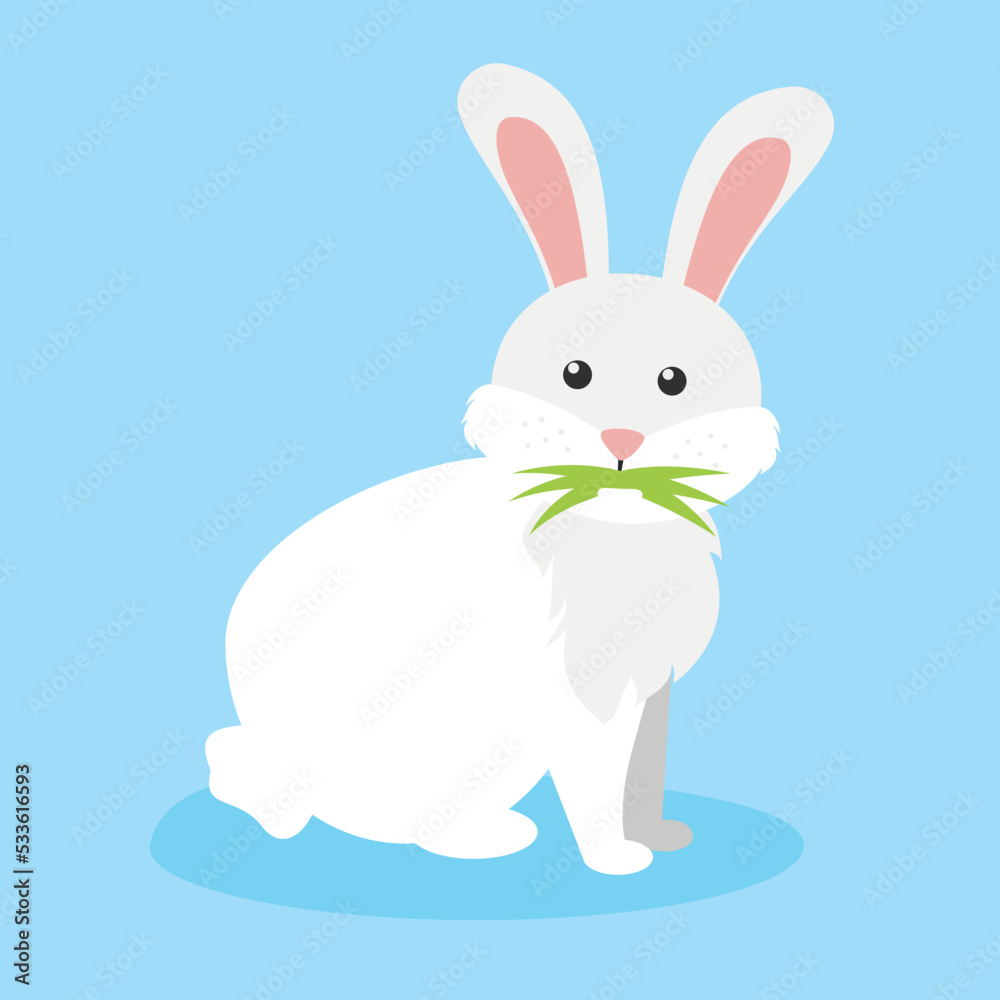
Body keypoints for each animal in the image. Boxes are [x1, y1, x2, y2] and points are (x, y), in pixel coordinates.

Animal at [205, 64, 833, 875]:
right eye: (574, 372)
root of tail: (289, 770)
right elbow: (598, 783)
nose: (622, 438)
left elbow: (645, 770)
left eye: (675, 380)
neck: (612, 526)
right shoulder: (581, 697)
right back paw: (485, 838)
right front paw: (616, 860)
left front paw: (660, 836)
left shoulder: (650, 689)